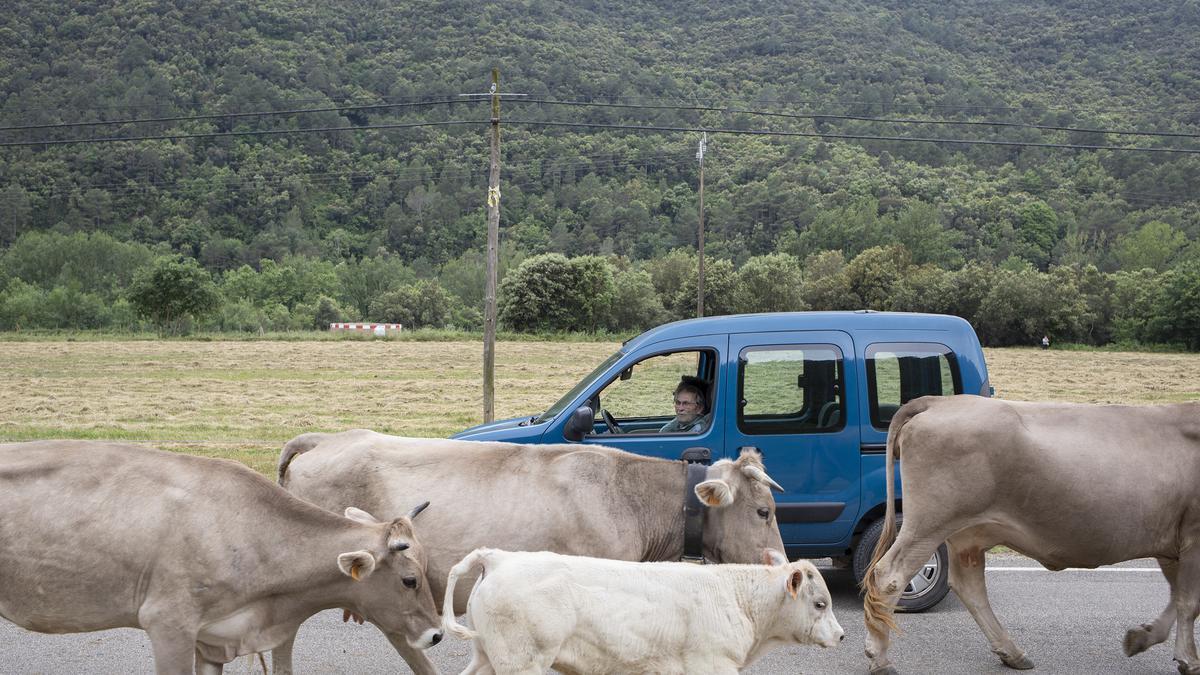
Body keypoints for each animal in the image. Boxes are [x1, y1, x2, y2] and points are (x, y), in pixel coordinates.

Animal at [868, 393, 1200, 672]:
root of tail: (939, 401)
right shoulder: (1192, 537)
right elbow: (1189, 603)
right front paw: (1189, 659)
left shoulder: (1172, 543)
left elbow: (1177, 598)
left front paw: (1142, 638)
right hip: (929, 522)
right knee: (889, 575)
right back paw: (879, 658)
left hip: (965, 532)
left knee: (969, 585)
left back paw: (1011, 653)